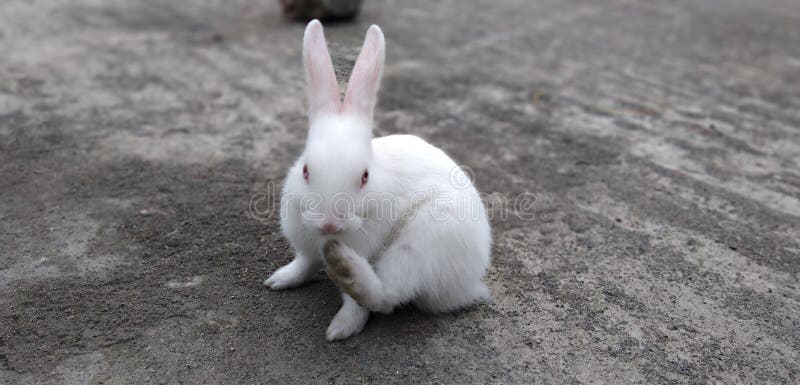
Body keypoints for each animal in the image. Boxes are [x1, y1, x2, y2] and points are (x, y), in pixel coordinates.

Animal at [266, 19, 490, 340]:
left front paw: (342, 328)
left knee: (387, 295)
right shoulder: (305, 246)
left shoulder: (365, 244)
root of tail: (468, 286)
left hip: (424, 242)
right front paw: (280, 279)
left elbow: (356, 306)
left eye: (364, 177)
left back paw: (345, 269)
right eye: (306, 170)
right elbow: (304, 264)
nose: (329, 224)